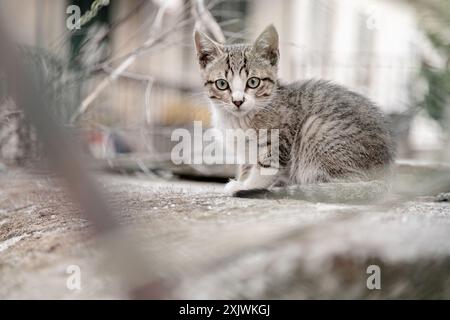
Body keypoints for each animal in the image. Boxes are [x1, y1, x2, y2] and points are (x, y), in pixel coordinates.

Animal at [193, 25, 394, 198]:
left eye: (253, 82)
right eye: (222, 84)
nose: (237, 101)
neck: (238, 120)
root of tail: (387, 175)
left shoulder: (280, 136)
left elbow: (265, 167)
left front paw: (247, 186)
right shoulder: (245, 151)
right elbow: (246, 166)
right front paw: (243, 180)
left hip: (313, 128)